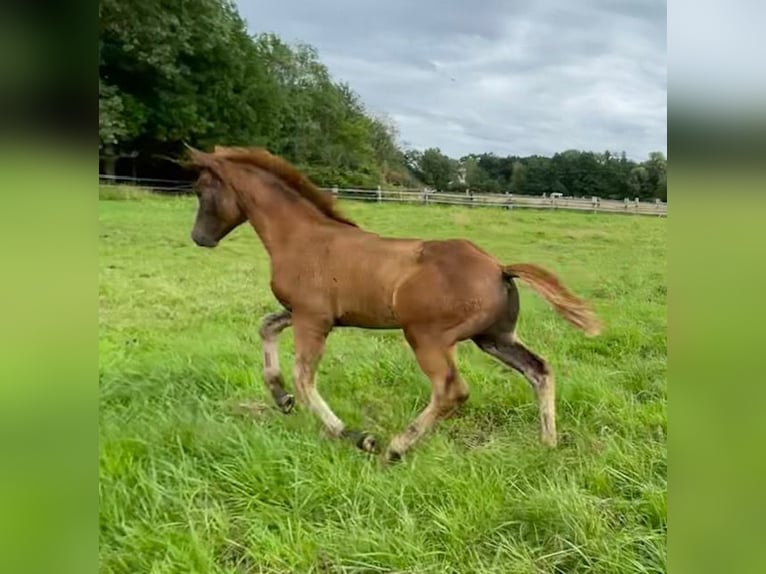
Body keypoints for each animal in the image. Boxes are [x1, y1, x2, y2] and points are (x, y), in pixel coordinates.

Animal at [183, 144, 604, 464]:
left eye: (202, 190)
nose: (199, 237)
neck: (302, 237)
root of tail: (499, 268)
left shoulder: (312, 318)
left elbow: (304, 376)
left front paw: (356, 436)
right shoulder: (309, 314)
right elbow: (267, 326)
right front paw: (280, 396)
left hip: (426, 336)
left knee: (452, 389)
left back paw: (397, 448)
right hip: (493, 337)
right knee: (539, 370)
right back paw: (548, 443)